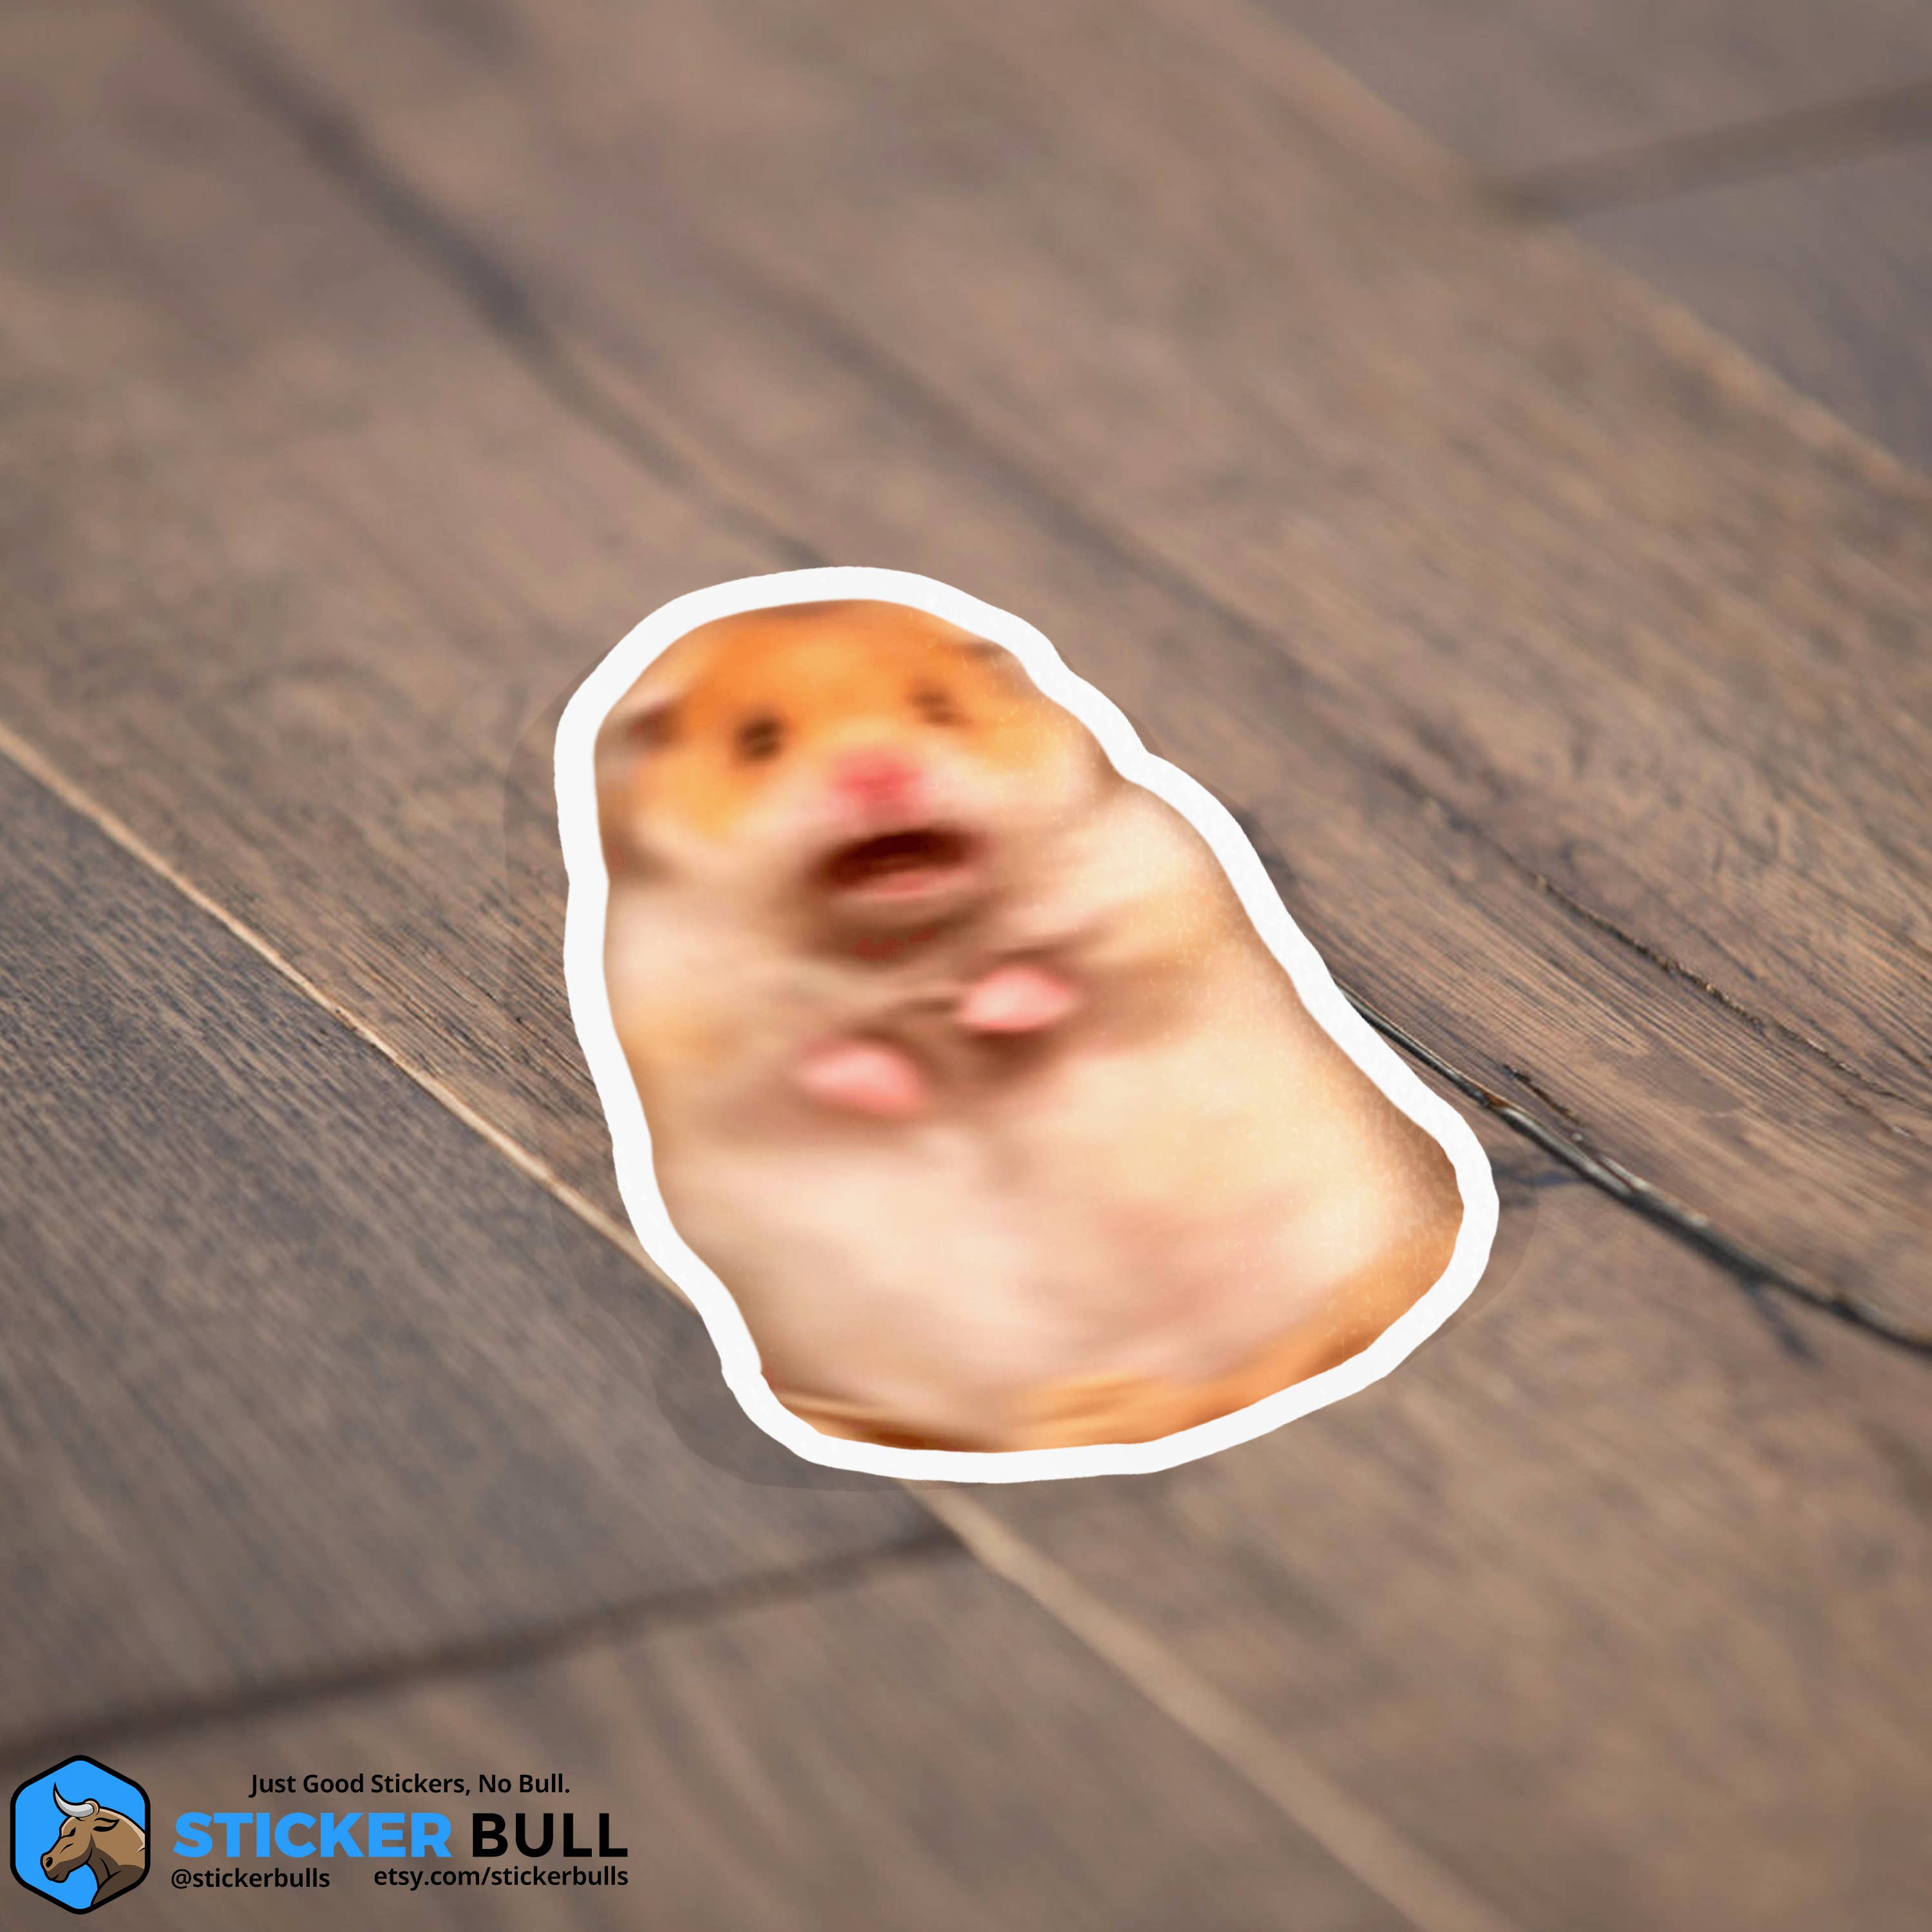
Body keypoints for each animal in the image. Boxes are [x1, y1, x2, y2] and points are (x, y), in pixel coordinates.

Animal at [597, 599, 1463, 1452]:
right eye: (757, 743)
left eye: (938, 709)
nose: (879, 773)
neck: (910, 944)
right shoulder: (678, 1011)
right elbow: (813, 1053)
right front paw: (904, 1078)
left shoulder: (1156, 890)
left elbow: (1063, 969)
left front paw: (987, 1012)